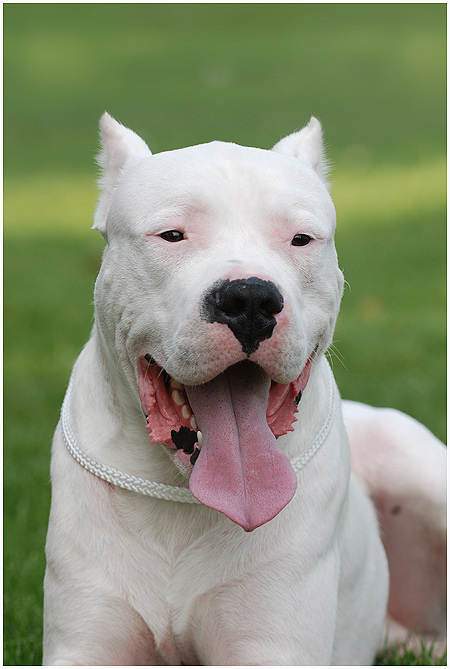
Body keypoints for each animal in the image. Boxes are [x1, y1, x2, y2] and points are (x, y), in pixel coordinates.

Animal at [43, 115, 446, 664]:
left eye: (301, 239)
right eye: (172, 235)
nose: (251, 298)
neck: (184, 497)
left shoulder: (270, 647)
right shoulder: (83, 645)